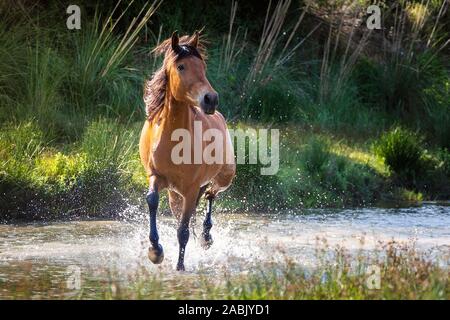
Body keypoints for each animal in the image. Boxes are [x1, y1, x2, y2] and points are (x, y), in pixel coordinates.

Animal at [138, 31, 236, 270]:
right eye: (181, 66)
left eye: (202, 66)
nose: (211, 99)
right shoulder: (156, 176)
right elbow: (152, 200)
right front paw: (155, 251)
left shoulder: (191, 189)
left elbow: (182, 231)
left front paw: (180, 266)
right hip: (175, 193)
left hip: (223, 178)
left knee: (210, 194)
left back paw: (206, 237)